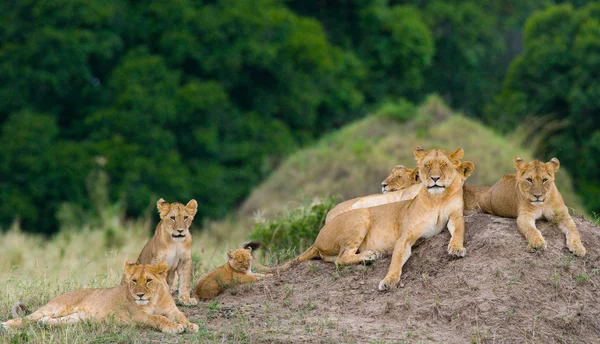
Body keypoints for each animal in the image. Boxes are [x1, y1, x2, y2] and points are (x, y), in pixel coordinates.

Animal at [1, 260, 200, 334]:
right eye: (134, 281)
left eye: (149, 280)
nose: (140, 294)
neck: (155, 298)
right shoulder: (138, 315)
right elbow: (158, 318)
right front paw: (174, 327)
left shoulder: (172, 310)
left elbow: (181, 316)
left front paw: (191, 325)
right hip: (56, 307)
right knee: (28, 318)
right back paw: (7, 325)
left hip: (76, 318)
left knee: (47, 320)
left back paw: (45, 324)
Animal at [270, 146, 474, 290]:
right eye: (427, 166)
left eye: (444, 165)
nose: (435, 178)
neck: (437, 198)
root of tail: (317, 237)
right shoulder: (405, 235)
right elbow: (396, 260)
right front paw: (389, 281)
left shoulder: (455, 216)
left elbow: (458, 232)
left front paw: (456, 249)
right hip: (362, 214)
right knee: (342, 258)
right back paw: (369, 255)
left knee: (336, 258)